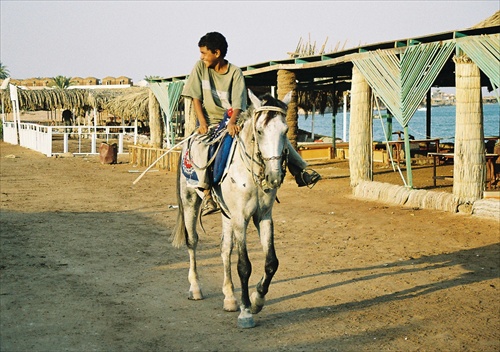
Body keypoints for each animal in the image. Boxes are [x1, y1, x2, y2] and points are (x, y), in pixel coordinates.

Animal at [172, 90, 292, 328]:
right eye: (259, 131)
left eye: (285, 130)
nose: (274, 176)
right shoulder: (240, 218)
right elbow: (244, 266)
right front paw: (246, 312)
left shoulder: (263, 217)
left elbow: (271, 262)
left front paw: (257, 299)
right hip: (190, 200)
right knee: (192, 241)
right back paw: (195, 288)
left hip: (226, 213)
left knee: (225, 248)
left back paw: (229, 297)